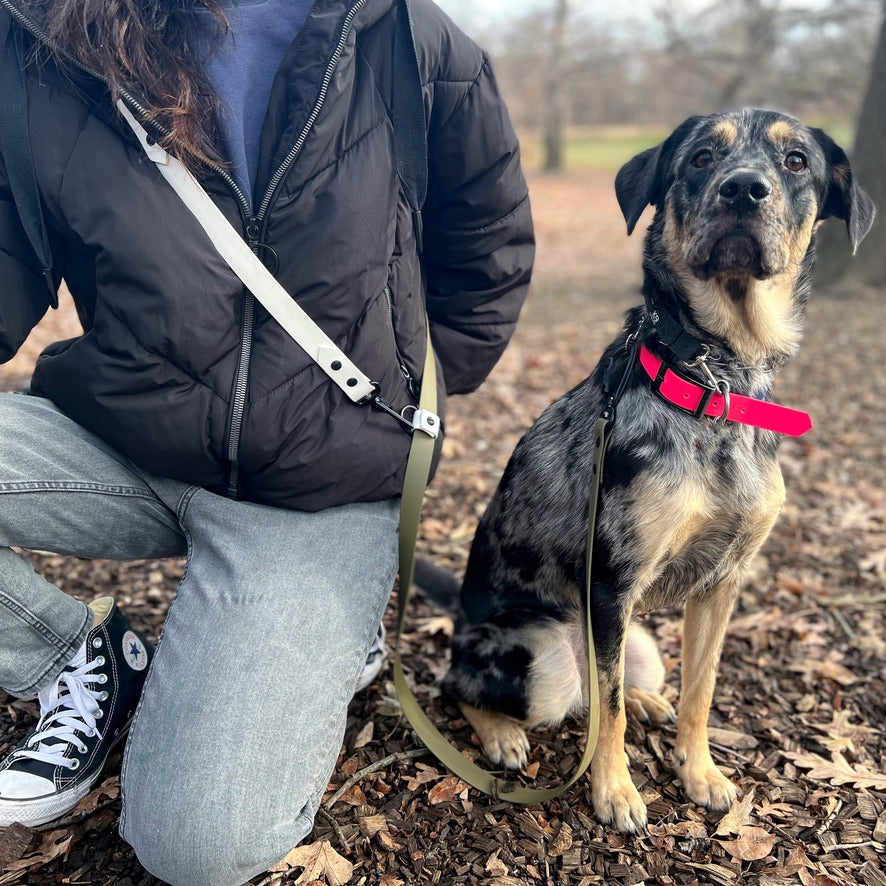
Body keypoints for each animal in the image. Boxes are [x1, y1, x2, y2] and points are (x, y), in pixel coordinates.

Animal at [434, 109, 876, 832]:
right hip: (541, 655)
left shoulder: (722, 584)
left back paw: (646, 703)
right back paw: (501, 733)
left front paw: (699, 772)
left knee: (615, 687)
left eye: (796, 161)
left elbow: (702, 690)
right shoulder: (611, 586)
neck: (715, 383)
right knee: (474, 687)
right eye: (699, 158)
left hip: (642, 646)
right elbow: (607, 717)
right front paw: (615, 791)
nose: (743, 189)